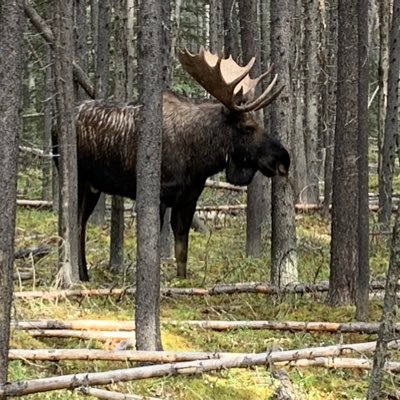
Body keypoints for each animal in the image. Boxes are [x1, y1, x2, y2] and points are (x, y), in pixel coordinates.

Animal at [56, 49, 290, 282]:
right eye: (248, 127)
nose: (284, 160)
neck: (199, 157)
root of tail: (54, 126)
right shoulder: (159, 196)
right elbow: (154, 247)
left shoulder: (188, 199)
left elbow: (182, 250)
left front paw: (181, 280)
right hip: (78, 179)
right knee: (74, 222)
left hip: (93, 187)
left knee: (80, 222)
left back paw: (84, 275)